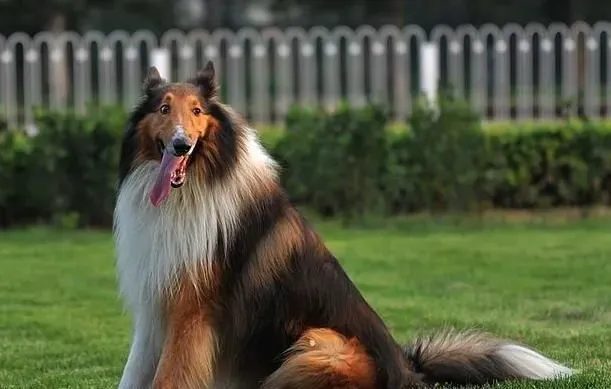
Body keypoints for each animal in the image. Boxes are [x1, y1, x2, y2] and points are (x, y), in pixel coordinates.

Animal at [113, 59, 572, 384]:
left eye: (196, 111)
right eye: (164, 109)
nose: (180, 144)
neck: (192, 188)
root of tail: (410, 372)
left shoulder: (192, 312)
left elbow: (169, 378)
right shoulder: (156, 308)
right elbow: (133, 374)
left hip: (319, 345)